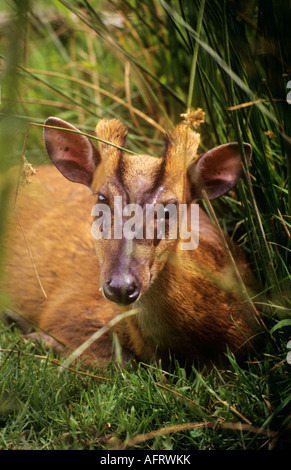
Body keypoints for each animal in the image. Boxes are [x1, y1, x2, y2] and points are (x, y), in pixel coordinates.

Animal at [4, 116, 258, 368]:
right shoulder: (70, 311)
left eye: (169, 208)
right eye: (102, 198)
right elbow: (121, 361)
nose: (120, 286)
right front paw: (37, 338)